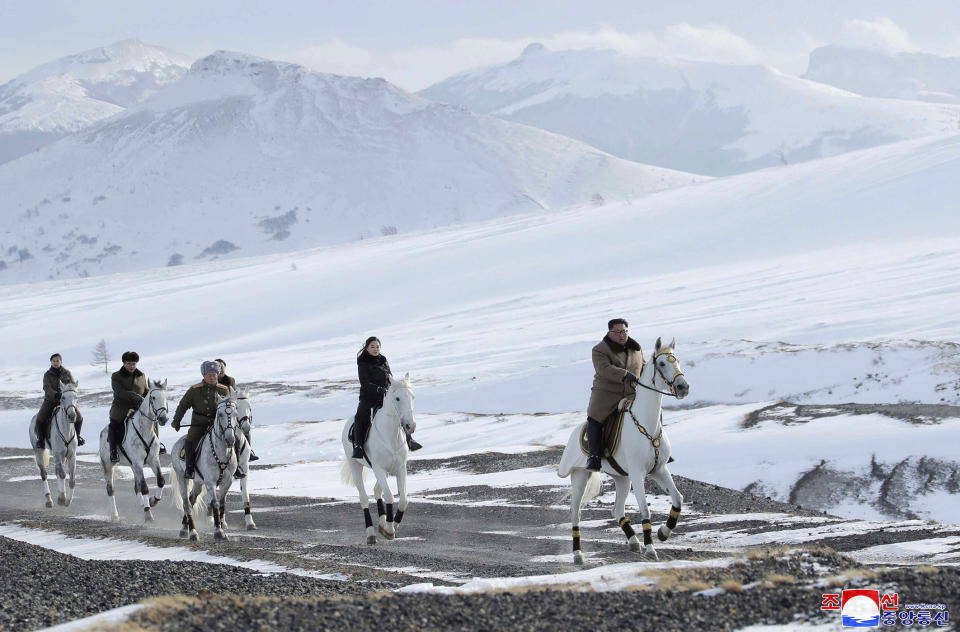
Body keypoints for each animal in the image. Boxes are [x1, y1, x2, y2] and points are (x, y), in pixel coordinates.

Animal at [29, 380, 79, 508]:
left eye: (76, 397)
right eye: (63, 397)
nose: (72, 416)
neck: (66, 430)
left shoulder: (71, 455)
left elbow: (72, 479)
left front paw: (68, 500)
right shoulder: (56, 453)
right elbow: (62, 474)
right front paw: (62, 498)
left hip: (62, 456)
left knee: (57, 471)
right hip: (39, 452)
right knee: (44, 474)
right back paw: (49, 500)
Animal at [97, 378, 169, 520]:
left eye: (165, 397)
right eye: (153, 397)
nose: (164, 419)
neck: (145, 430)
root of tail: (103, 432)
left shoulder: (153, 460)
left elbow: (160, 481)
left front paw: (152, 501)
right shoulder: (138, 463)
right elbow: (145, 487)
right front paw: (148, 516)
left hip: (132, 466)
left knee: (136, 487)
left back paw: (143, 505)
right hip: (109, 465)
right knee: (110, 489)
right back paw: (115, 515)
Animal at [171, 392, 236, 540]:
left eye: (235, 413)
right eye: (220, 414)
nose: (230, 439)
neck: (221, 452)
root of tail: (176, 444)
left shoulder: (227, 482)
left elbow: (222, 503)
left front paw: (222, 526)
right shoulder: (210, 482)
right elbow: (215, 503)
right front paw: (218, 531)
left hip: (198, 482)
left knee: (192, 499)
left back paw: (185, 528)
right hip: (182, 477)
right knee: (186, 503)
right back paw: (192, 532)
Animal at [340, 372, 414, 544]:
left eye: (412, 396)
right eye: (397, 398)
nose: (410, 426)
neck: (391, 435)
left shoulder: (400, 468)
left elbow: (403, 500)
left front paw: (392, 524)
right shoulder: (378, 468)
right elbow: (389, 496)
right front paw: (389, 529)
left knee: (376, 491)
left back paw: (381, 523)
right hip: (356, 465)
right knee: (364, 498)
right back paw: (371, 533)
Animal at [560, 338, 688, 564]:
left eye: (678, 360)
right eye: (662, 363)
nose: (683, 387)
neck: (647, 424)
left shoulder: (660, 470)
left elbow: (678, 499)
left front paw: (663, 532)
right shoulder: (638, 474)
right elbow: (645, 509)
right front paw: (651, 549)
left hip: (622, 479)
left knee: (617, 509)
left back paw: (633, 541)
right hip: (580, 476)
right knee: (576, 512)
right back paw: (578, 554)